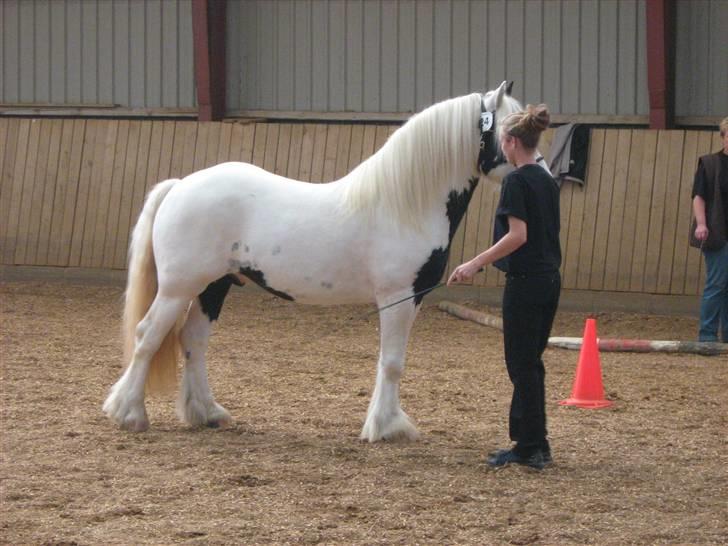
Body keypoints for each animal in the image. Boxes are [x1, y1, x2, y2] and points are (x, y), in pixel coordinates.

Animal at [102, 79, 544, 438]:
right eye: (509, 129)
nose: (540, 171)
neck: (405, 205)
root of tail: (180, 185)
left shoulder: (412, 298)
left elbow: (390, 361)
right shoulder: (397, 296)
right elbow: (392, 362)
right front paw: (388, 427)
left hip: (215, 285)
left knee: (193, 339)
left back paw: (207, 413)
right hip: (179, 288)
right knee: (148, 335)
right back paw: (130, 414)